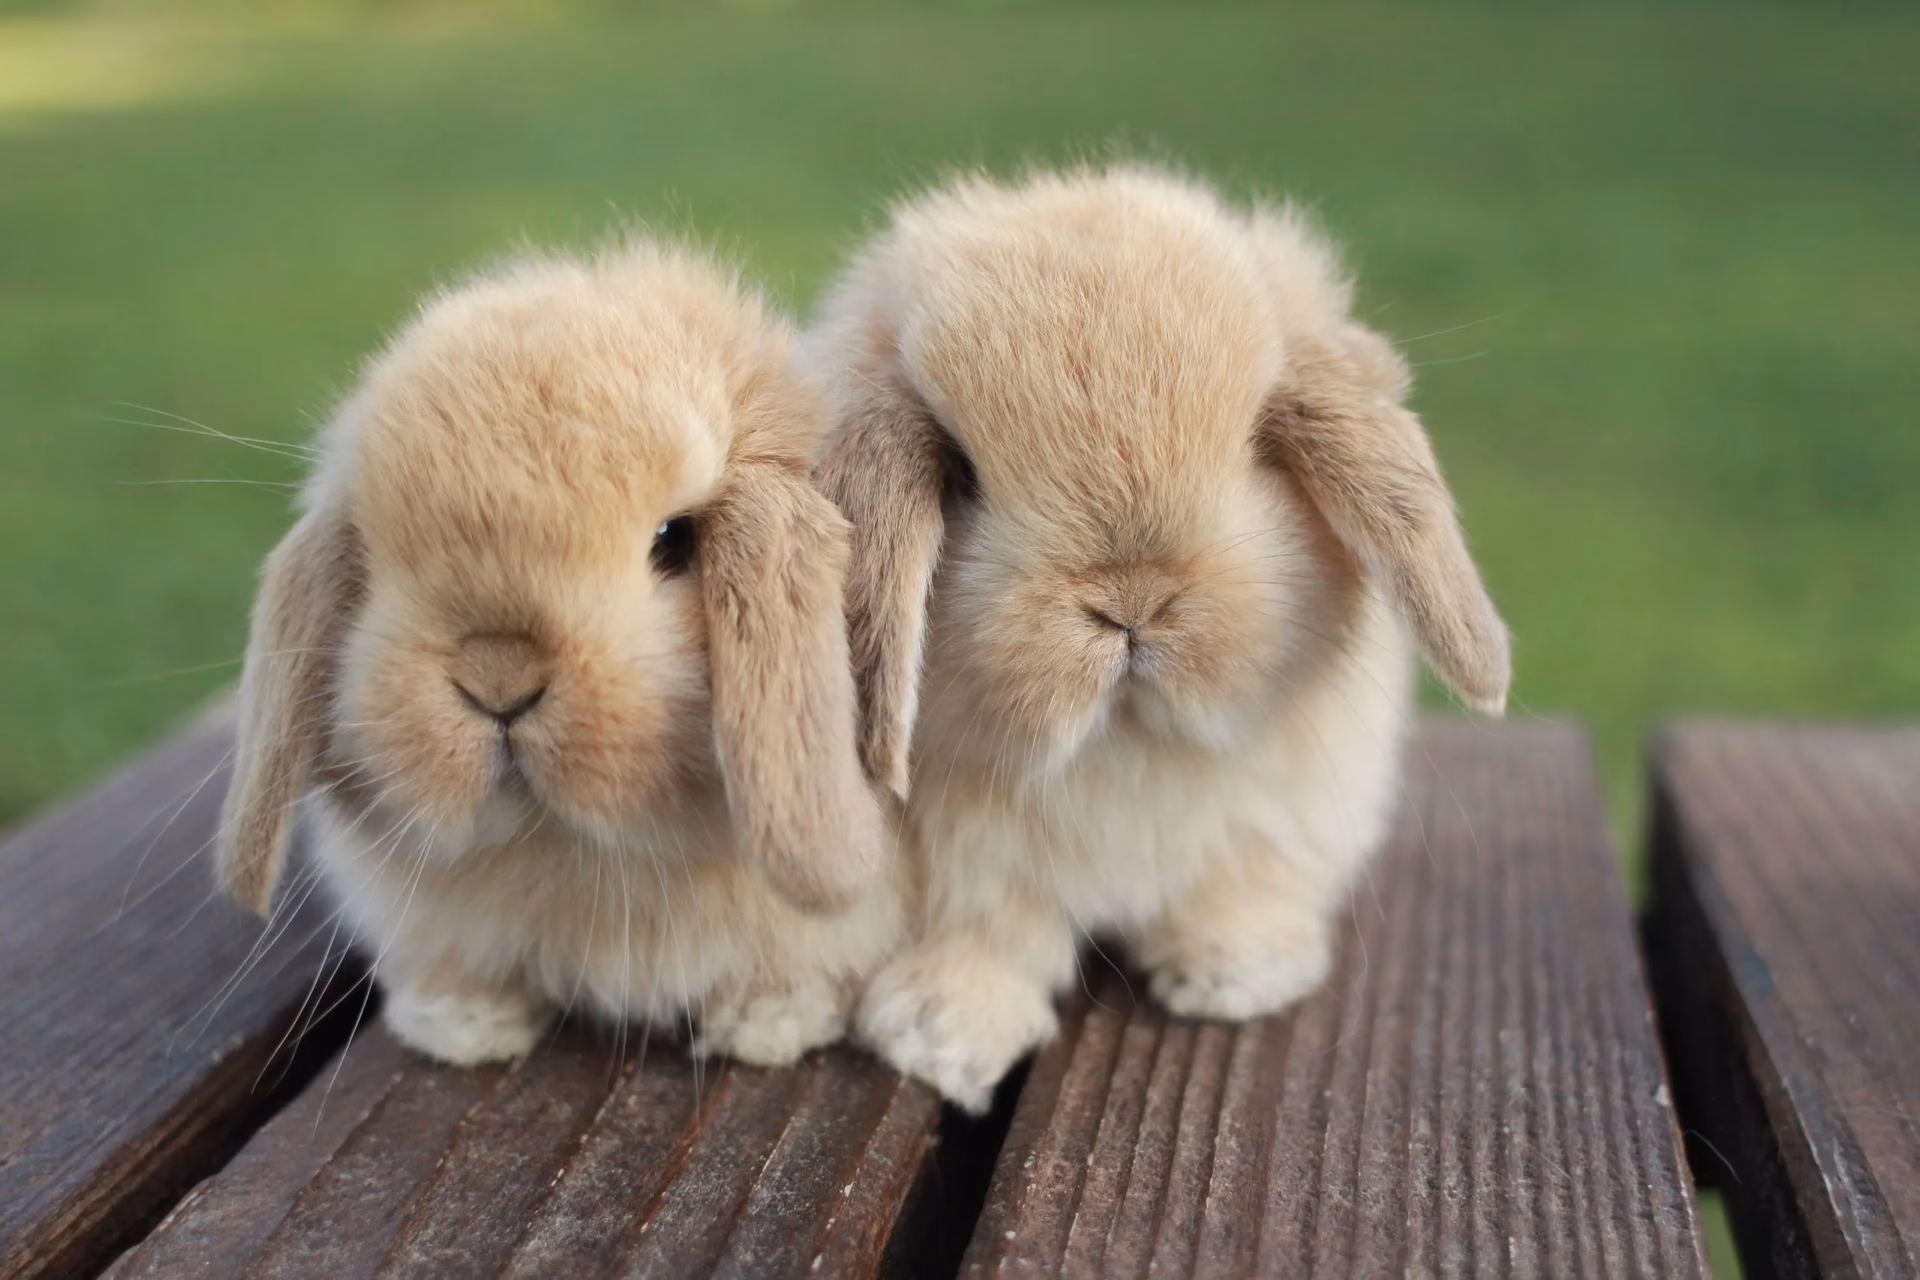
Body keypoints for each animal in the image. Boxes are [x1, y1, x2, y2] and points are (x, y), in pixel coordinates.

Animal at [214, 240, 903, 1070]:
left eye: (675, 540)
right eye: (375, 565)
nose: (499, 677)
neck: (576, 853)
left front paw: (769, 1025)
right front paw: (460, 1025)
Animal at [809, 166, 1510, 1113]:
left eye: (1256, 446)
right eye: (961, 474)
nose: (1132, 601)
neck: (1128, 742)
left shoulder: (1274, 822)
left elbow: (1233, 895)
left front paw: (1235, 980)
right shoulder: (970, 867)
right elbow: (993, 935)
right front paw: (936, 1038)